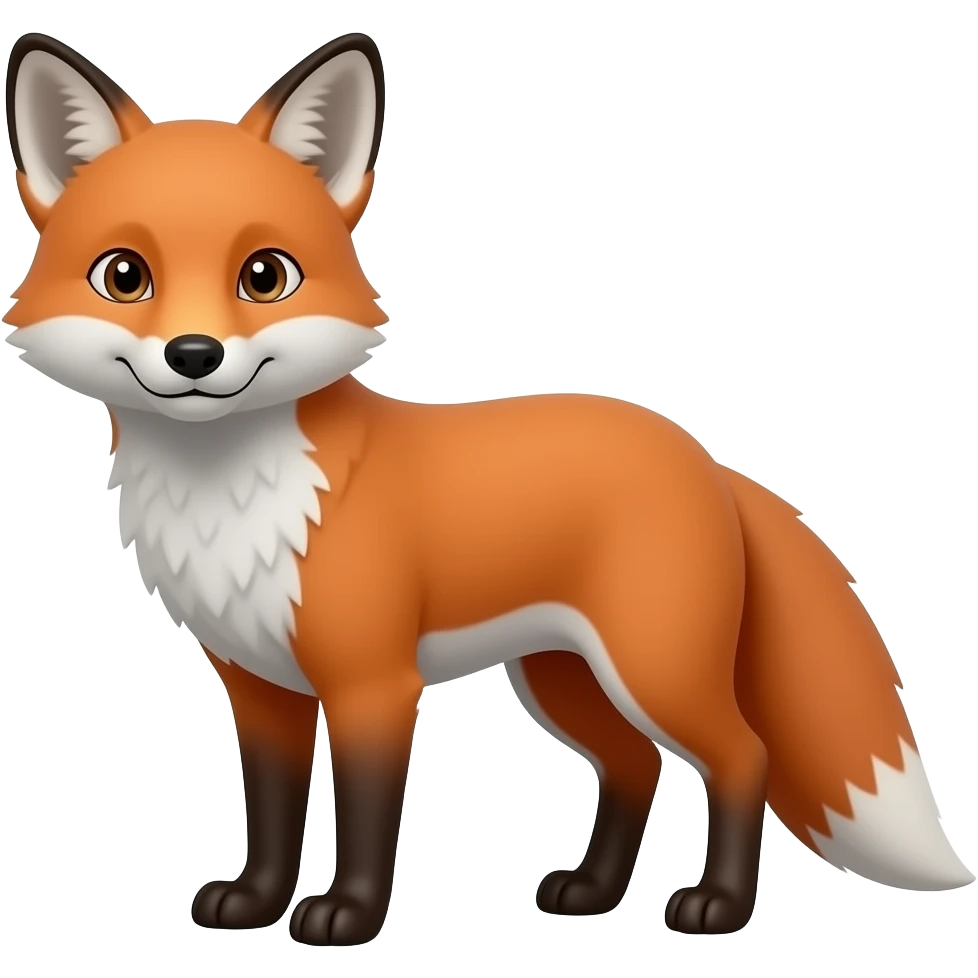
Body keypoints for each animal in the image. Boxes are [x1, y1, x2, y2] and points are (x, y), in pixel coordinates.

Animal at [3, 29, 974, 947]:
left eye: (265, 275)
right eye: (125, 275)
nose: (194, 355)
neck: (234, 499)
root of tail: (703, 455)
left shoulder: (373, 684)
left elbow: (366, 818)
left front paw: (348, 917)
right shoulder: (260, 686)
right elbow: (272, 815)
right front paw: (254, 903)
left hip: (654, 669)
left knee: (744, 757)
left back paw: (720, 906)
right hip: (563, 678)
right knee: (634, 766)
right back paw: (591, 894)